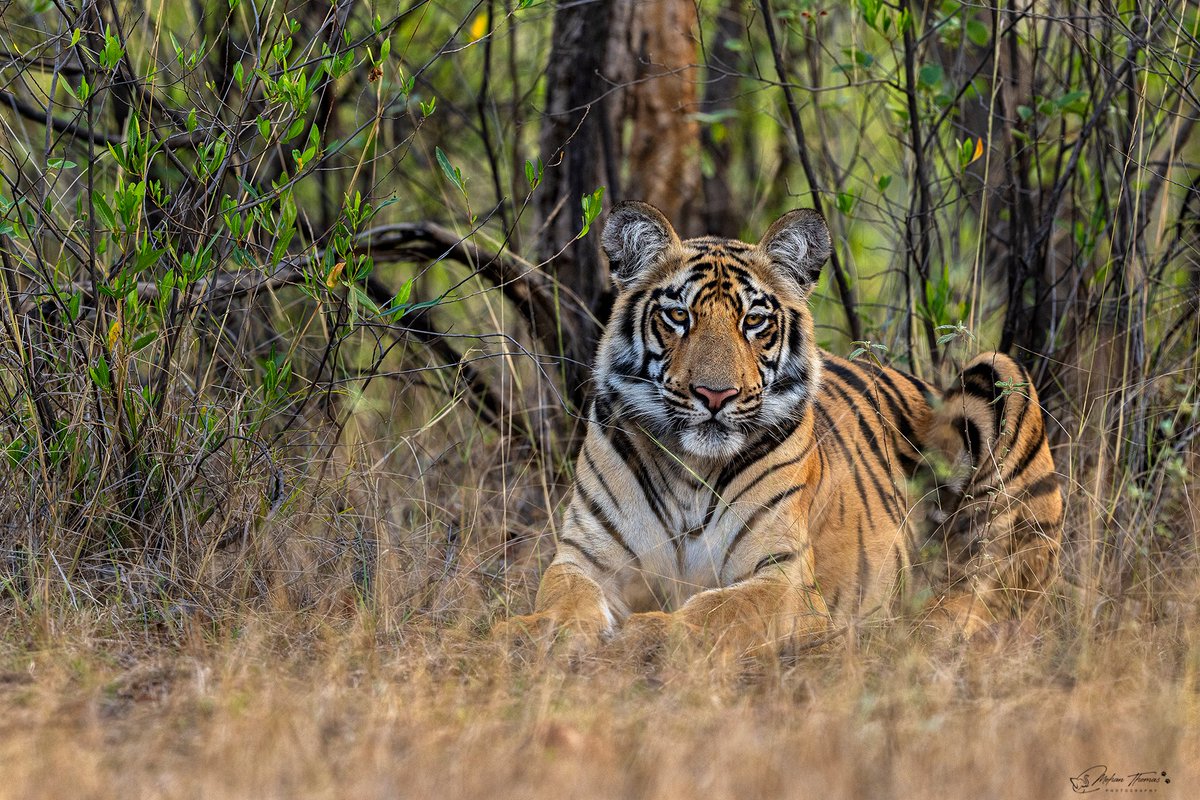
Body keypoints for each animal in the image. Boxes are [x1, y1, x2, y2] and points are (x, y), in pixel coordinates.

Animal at [506, 200, 1060, 657]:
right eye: (678, 315)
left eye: (754, 320)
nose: (715, 395)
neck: (691, 469)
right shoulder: (586, 557)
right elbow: (565, 595)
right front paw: (539, 630)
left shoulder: (783, 576)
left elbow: (719, 610)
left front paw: (651, 630)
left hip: (1002, 374)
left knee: (988, 591)